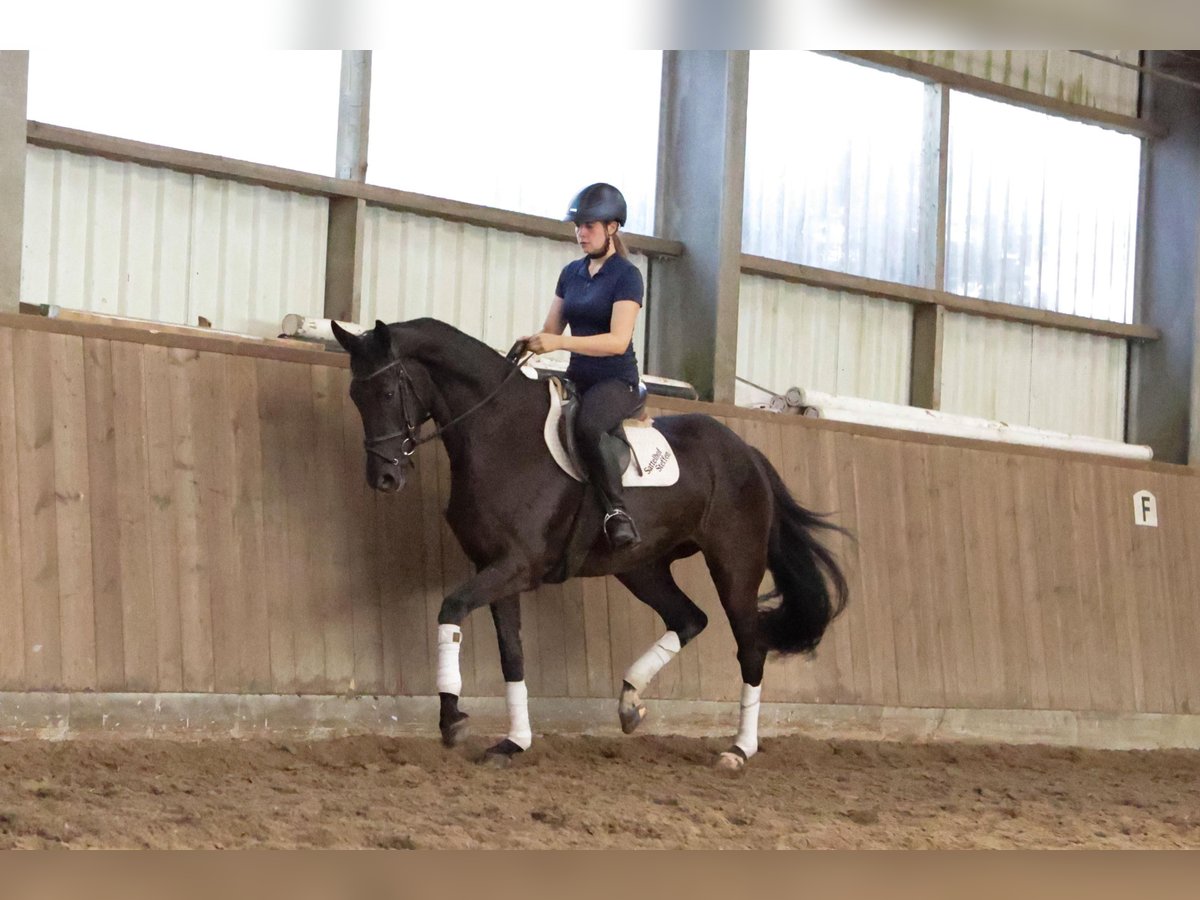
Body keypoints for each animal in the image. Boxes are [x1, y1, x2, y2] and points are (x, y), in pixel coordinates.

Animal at [333, 316, 849, 768]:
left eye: (386, 391)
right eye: (354, 396)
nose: (383, 478)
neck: (500, 433)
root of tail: (747, 453)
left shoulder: (516, 567)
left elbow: (451, 609)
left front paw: (452, 720)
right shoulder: (497, 569)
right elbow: (512, 655)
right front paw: (513, 743)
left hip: (734, 565)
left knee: (750, 648)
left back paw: (738, 750)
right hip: (640, 566)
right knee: (689, 619)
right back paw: (630, 703)